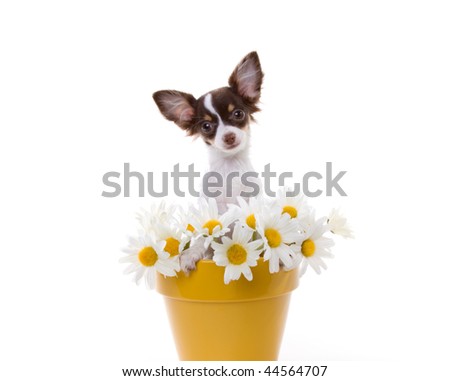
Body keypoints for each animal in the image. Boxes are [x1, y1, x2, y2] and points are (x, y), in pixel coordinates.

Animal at [153, 51, 264, 270]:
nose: (228, 136)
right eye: (206, 126)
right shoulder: (212, 210)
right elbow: (204, 237)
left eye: (238, 114)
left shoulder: (249, 207)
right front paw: (191, 254)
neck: (229, 166)